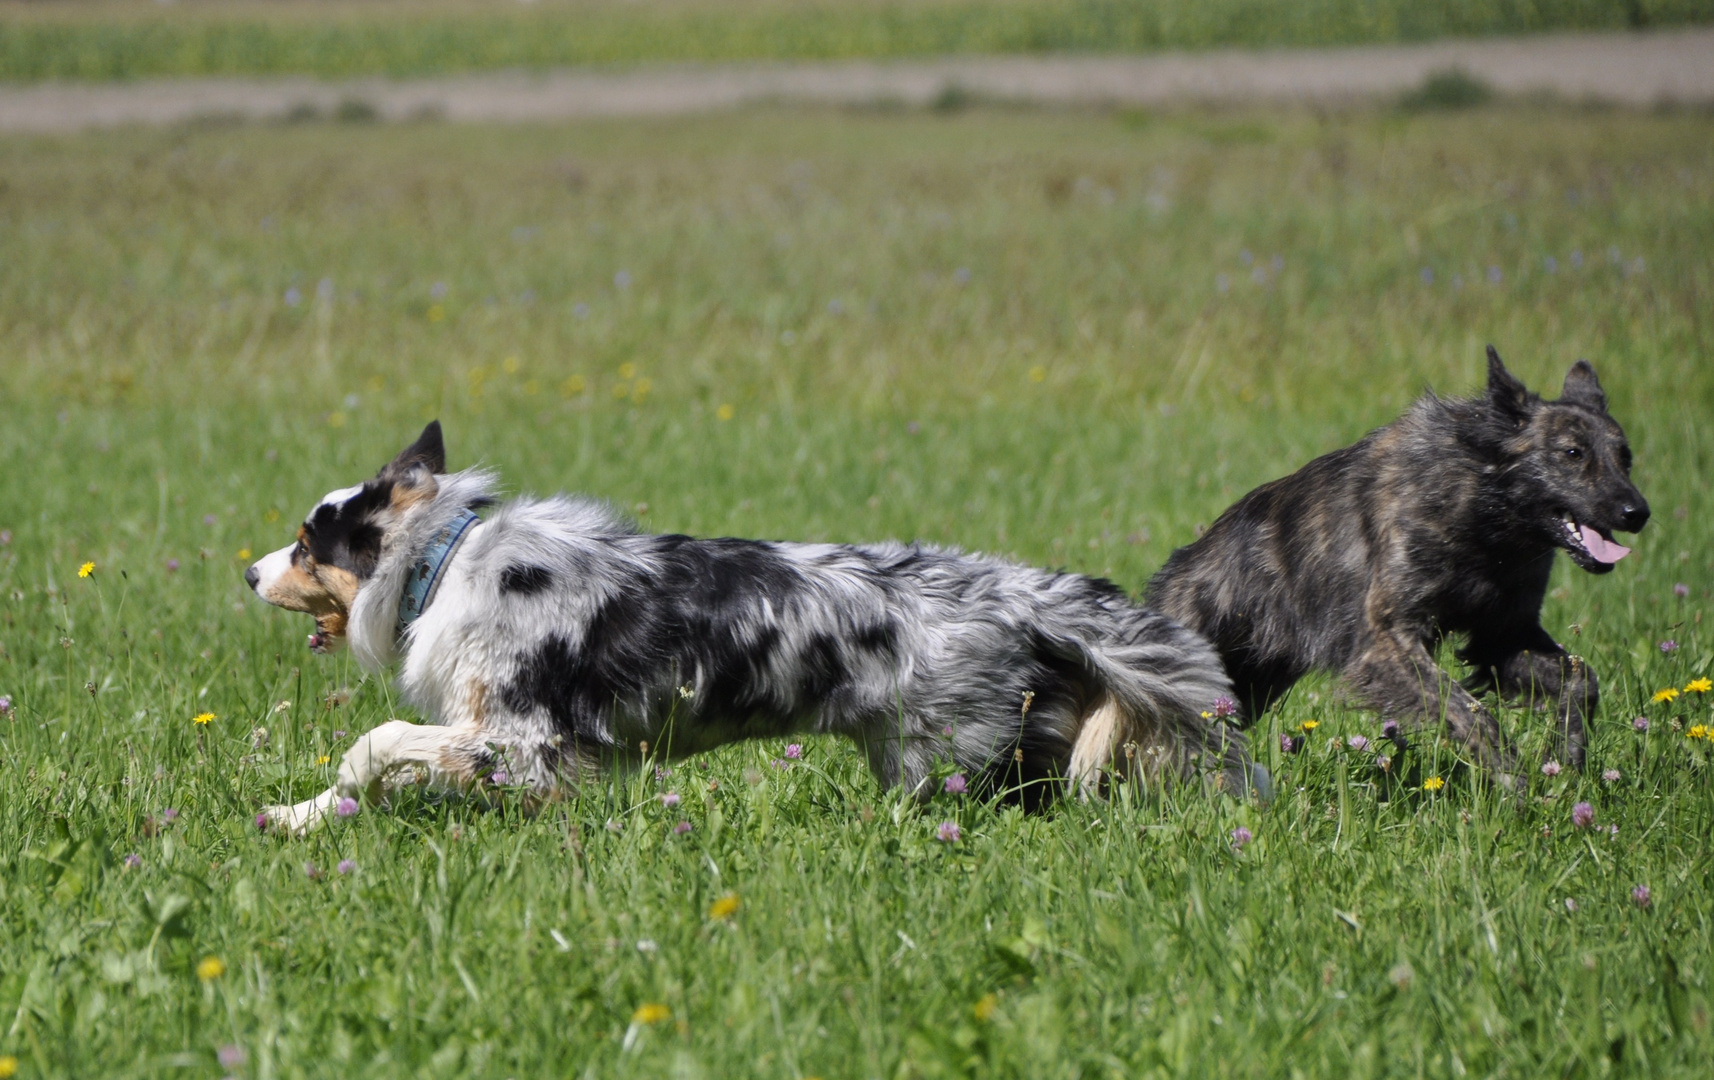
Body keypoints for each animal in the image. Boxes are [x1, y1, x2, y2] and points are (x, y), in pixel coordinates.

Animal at [1151, 346, 1645, 778]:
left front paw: (1565, 764)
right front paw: (1513, 787)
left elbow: (1580, 681)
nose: (1637, 513)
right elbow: (1470, 713)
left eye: (1625, 457)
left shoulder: (1505, 634)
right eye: (1573, 453)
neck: (1485, 516)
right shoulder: (1387, 643)